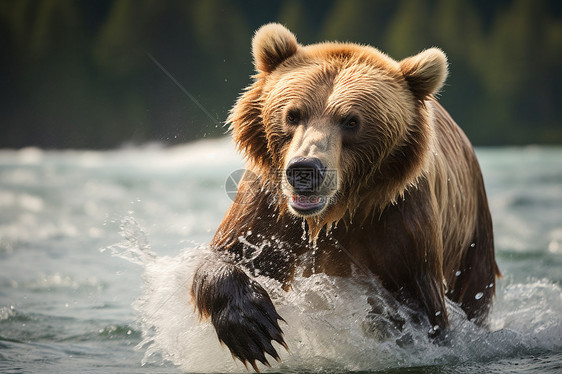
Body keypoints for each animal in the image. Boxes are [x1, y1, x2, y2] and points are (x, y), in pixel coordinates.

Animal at [190, 24, 496, 372]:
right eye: (292, 114)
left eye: (352, 121)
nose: (305, 169)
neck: (331, 216)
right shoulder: (269, 206)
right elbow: (231, 253)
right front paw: (252, 327)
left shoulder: (399, 223)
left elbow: (420, 310)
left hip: (473, 238)